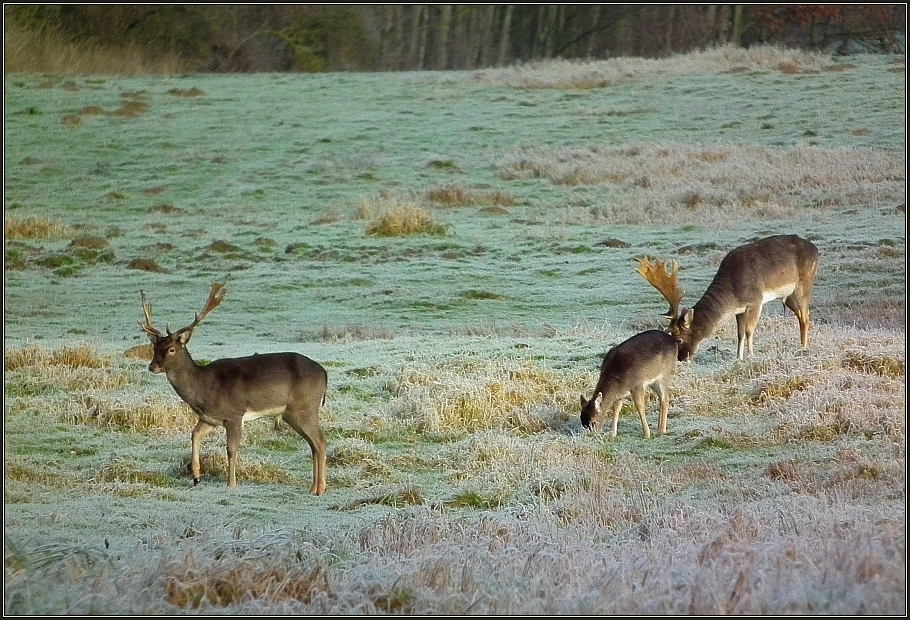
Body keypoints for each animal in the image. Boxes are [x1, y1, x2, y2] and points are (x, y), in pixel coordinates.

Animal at [138, 282, 328, 494]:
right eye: (154, 348)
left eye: (171, 349)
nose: (152, 366)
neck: (205, 387)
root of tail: (324, 374)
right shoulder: (209, 418)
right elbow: (194, 435)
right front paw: (196, 476)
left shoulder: (235, 414)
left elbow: (231, 449)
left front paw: (231, 484)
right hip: (291, 413)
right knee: (313, 444)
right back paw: (314, 487)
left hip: (305, 407)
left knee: (320, 442)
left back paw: (319, 489)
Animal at [636, 236, 824, 364]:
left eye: (679, 338)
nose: (681, 358)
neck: (733, 294)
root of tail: (815, 249)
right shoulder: (739, 310)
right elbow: (739, 333)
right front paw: (738, 358)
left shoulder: (755, 301)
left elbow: (749, 331)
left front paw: (751, 356)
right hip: (788, 296)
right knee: (802, 316)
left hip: (805, 282)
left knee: (805, 317)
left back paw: (804, 347)